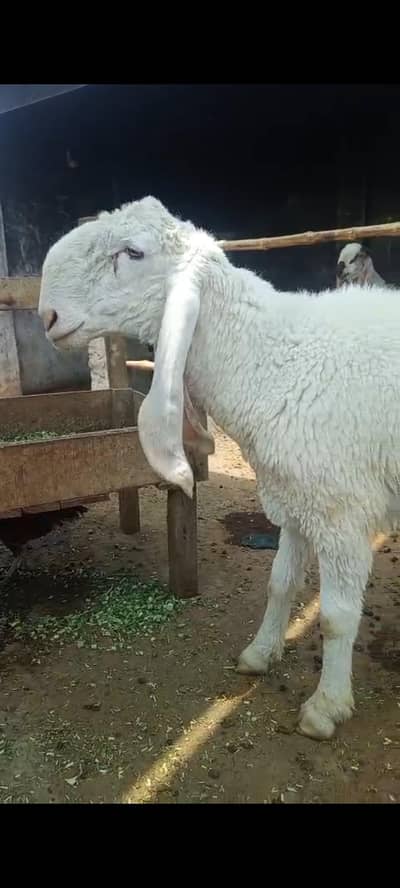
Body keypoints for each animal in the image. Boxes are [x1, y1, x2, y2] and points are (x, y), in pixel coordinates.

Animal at [38, 196, 400, 740]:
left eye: (133, 252)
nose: (47, 314)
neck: (277, 362)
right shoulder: (296, 500)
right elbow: (280, 582)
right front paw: (260, 653)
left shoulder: (342, 514)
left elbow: (336, 617)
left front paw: (326, 707)